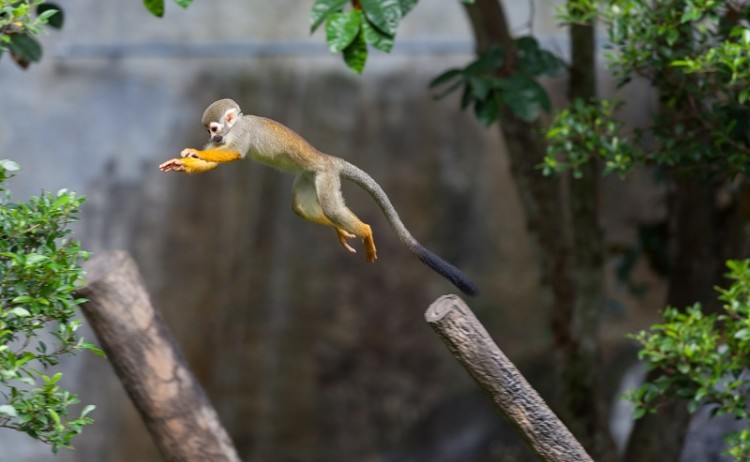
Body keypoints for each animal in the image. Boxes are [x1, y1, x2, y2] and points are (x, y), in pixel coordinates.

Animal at [159, 99, 478, 296]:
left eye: (214, 128)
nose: (213, 138)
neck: (235, 125)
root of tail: (327, 158)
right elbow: (214, 160)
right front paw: (184, 162)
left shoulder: (242, 133)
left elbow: (235, 153)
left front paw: (194, 153)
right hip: (307, 176)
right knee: (300, 207)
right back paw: (338, 229)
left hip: (325, 178)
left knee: (333, 208)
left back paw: (364, 231)